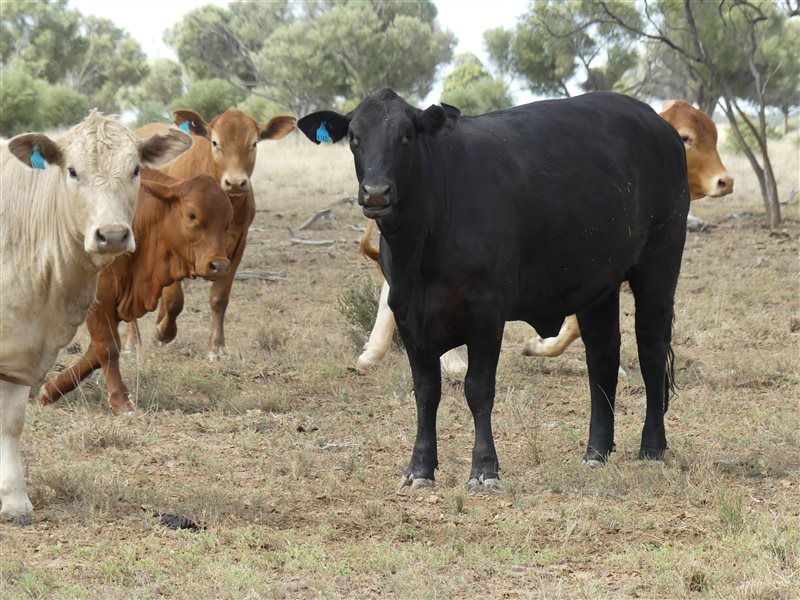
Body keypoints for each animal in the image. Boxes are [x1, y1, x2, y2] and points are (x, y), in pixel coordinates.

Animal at [0, 110, 192, 524]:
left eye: (136, 169)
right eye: (72, 171)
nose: (113, 235)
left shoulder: (23, 345)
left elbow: (11, 421)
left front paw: (15, 500)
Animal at [39, 168, 233, 412]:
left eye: (227, 220)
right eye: (192, 215)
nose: (220, 266)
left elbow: (95, 352)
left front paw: (52, 389)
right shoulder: (100, 295)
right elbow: (107, 346)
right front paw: (121, 401)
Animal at [125, 108, 296, 358]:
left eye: (254, 143)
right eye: (215, 142)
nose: (235, 182)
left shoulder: (237, 245)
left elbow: (219, 297)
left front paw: (217, 346)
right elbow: (175, 300)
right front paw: (164, 333)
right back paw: (132, 340)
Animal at [298, 89, 688, 492]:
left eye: (406, 135)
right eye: (354, 137)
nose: (376, 193)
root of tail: (659, 125)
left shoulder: (486, 311)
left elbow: (478, 388)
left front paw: (484, 468)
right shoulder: (407, 313)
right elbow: (426, 392)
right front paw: (420, 468)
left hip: (659, 262)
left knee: (651, 349)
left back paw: (652, 447)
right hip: (599, 283)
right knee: (603, 355)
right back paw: (596, 451)